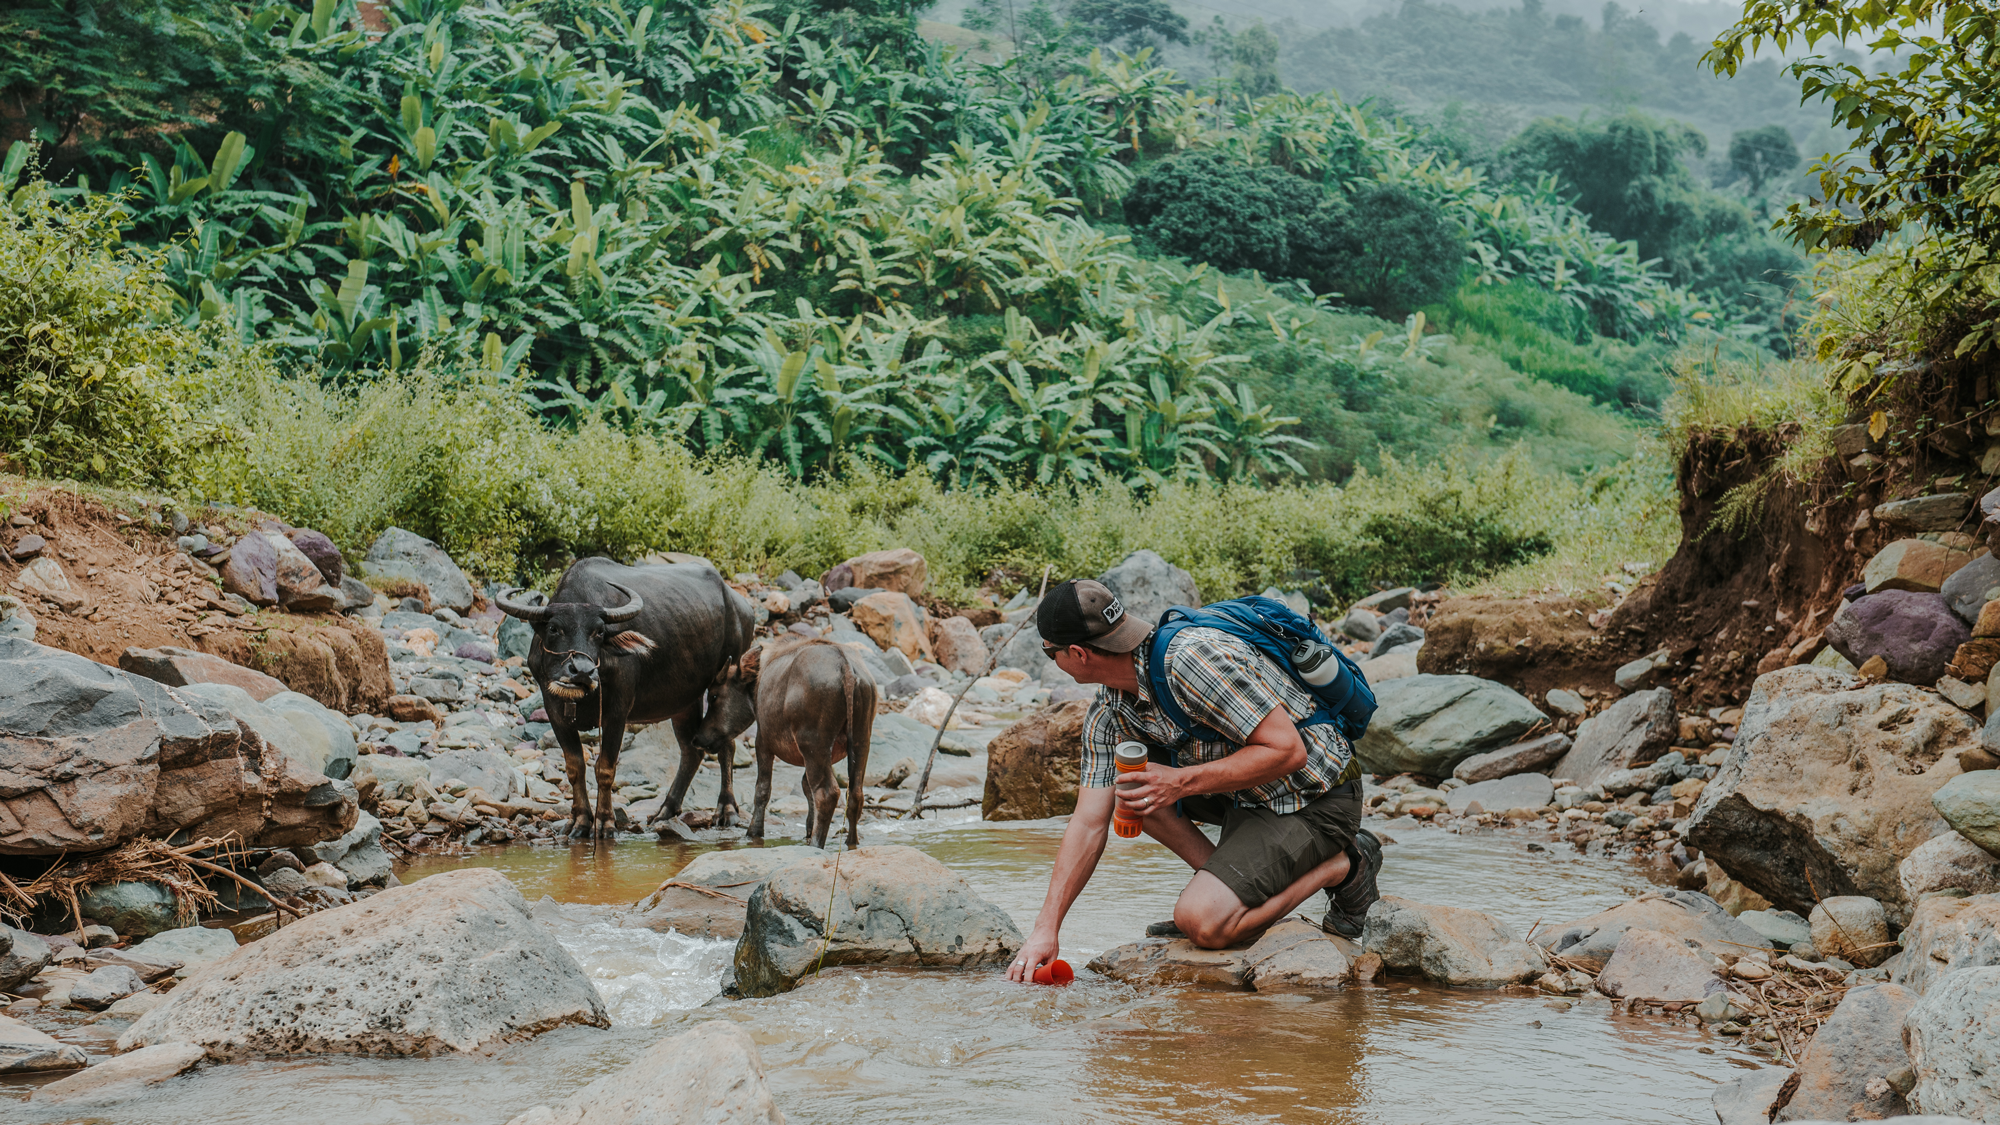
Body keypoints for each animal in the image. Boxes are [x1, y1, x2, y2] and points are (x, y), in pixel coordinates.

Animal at [496, 556, 752, 836]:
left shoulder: (617, 712)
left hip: (728, 677)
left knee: (726, 743)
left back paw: (726, 810)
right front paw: (580, 821)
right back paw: (665, 810)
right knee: (691, 750)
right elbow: (575, 767)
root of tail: (740, 606)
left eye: (598, 632)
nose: (582, 671)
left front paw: (606, 822)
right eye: (554, 628)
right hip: (684, 700)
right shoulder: (554, 710)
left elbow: (605, 768)